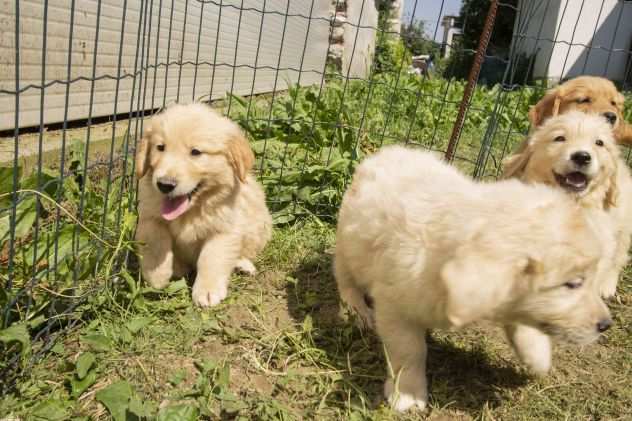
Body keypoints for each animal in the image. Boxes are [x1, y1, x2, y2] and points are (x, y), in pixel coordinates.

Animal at [133, 101, 272, 306]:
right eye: (160, 147)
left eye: (196, 152)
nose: (165, 185)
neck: (192, 210)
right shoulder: (148, 216)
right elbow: (155, 240)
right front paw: (158, 274)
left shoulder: (224, 229)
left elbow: (212, 258)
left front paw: (207, 291)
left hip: (260, 225)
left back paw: (243, 265)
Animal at [334, 145, 616, 410]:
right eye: (573, 284)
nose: (605, 325)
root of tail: (386, 152)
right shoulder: (395, 306)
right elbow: (410, 350)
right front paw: (408, 394)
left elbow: (525, 322)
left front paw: (538, 356)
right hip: (349, 246)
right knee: (345, 279)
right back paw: (356, 311)